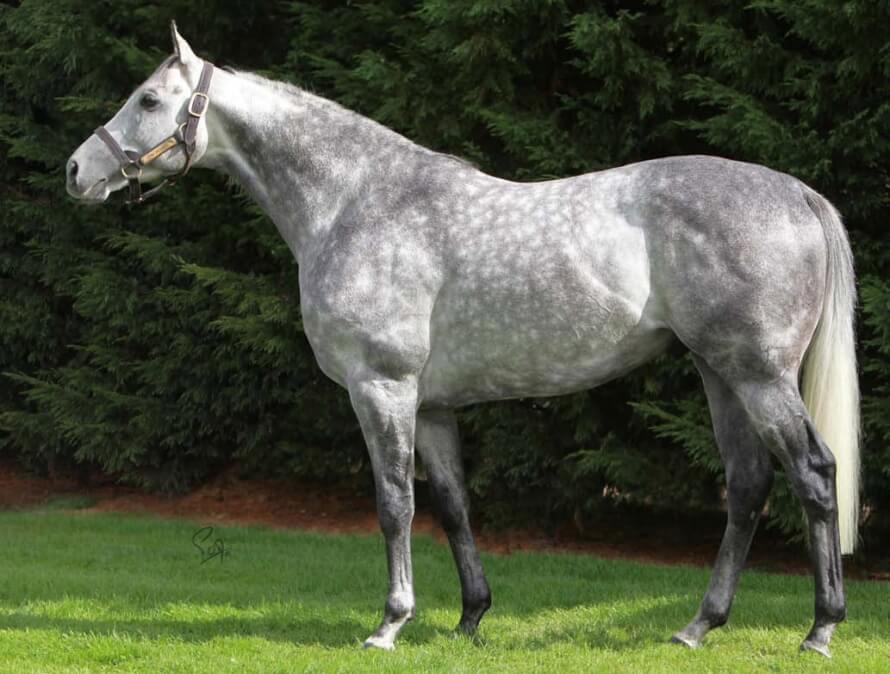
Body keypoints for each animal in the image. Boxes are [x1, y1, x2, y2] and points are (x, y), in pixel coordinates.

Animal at [66, 23, 859, 657]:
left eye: (148, 100)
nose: (77, 170)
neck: (356, 201)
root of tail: (796, 192)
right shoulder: (433, 405)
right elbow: (451, 505)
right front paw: (470, 618)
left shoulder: (381, 389)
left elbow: (394, 504)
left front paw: (390, 623)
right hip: (719, 373)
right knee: (748, 486)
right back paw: (698, 626)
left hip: (758, 375)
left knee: (814, 476)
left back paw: (820, 629)